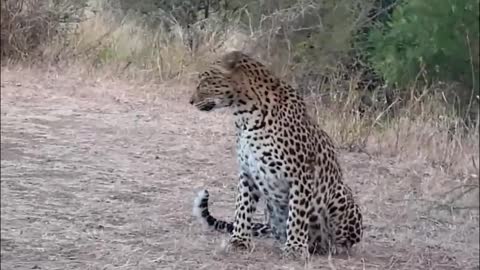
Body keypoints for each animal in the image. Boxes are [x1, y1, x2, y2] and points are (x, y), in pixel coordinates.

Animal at [189, 51, 362, 258]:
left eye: (205, 81)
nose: (190, 101)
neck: (244, 115)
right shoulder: (247, 171)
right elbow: (242, 206)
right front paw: (239, 241)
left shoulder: (301, 174)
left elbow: (298, 213)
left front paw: (295, 247)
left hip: (340, 194)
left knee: (345, 240)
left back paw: (334, 247)